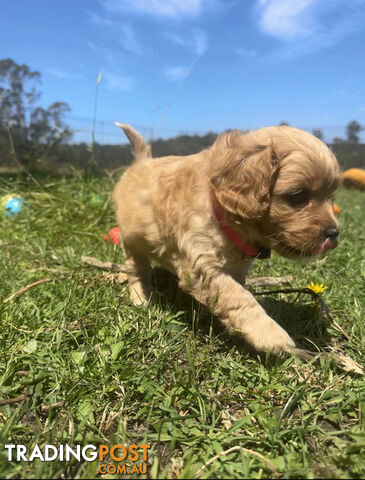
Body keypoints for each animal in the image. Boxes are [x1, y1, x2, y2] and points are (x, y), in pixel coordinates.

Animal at [112, 125, 340, 358]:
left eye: (331, 197)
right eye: (298, 196)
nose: (334, 233)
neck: (221, 210)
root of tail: (142, 162)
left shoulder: (236, 269)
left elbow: (232, 296)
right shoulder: (201, 264)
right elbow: (238, 297)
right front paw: (270, 335)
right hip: (131, 241)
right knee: (137, 269)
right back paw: (141, 297)